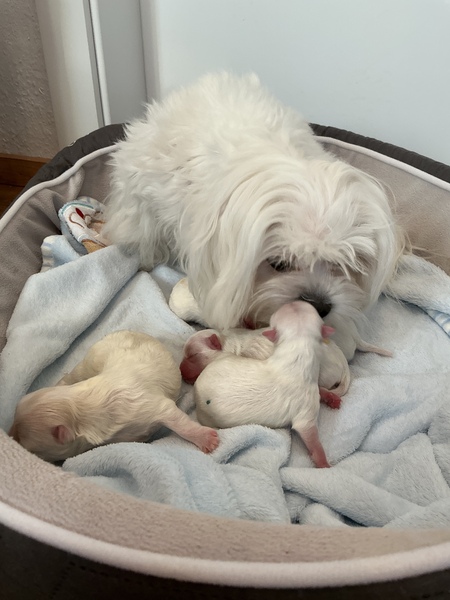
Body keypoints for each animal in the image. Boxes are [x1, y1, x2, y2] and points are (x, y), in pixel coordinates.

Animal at [194, 301, 334, 468]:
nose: (293, 301)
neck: (297, 349)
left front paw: (330, 396)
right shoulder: (306, 406)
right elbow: (308, 431)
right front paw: (323, 462)